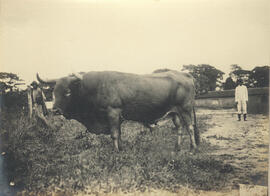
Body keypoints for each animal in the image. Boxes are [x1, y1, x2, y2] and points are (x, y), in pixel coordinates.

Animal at [37, 69, 199, 152]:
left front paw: (115, 152)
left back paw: (193, 148)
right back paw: (177, 148)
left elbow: (114, 134)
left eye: (68, 92)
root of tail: (185, 74)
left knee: (190, 127)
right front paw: (121, 149)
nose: (55, 110)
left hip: (185, 109)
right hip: (174, 112)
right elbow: (119, 134)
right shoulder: (117, 117)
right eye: (53, 92)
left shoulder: (113, 113)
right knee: (179, 128)